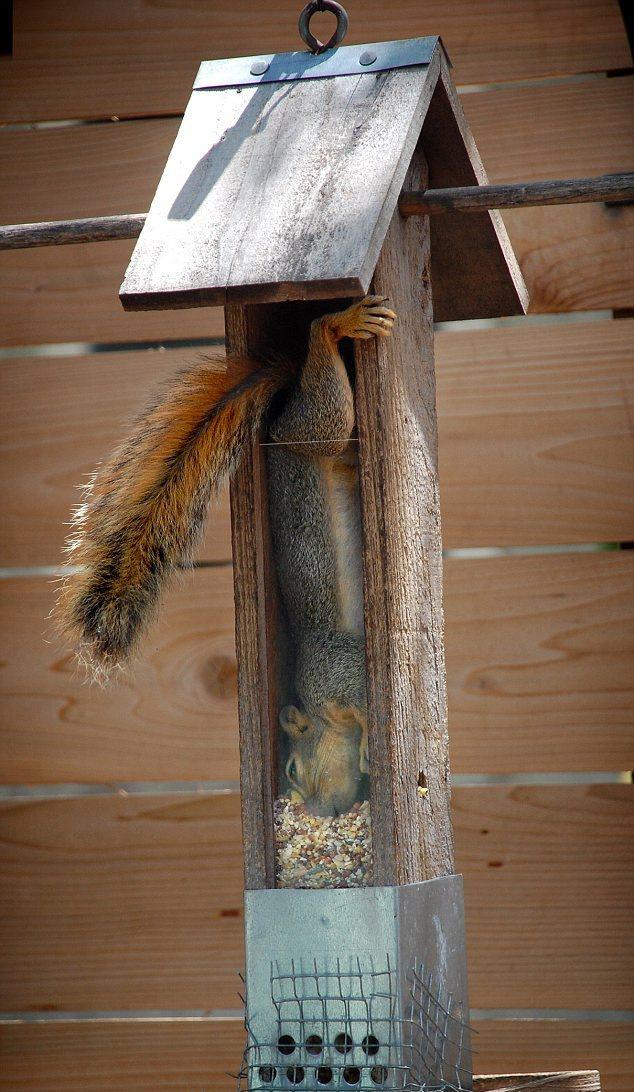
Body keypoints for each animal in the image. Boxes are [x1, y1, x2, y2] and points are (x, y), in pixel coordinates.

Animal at [58, 294, 395, 816]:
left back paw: (337, 324)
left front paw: (364, 751)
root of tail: (279, 412)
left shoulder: (339, 670)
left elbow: (362, 698)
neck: (321, 713)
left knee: (323, 409)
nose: (318, 811)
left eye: (292, 769)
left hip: (309, 433)